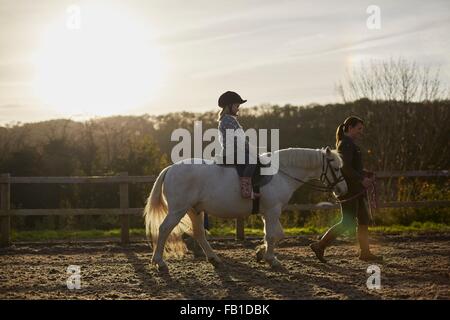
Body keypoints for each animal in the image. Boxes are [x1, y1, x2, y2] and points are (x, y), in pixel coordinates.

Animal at [144, 147, 348, 270]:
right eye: (337, 168)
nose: (342, 190)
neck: (281, 173)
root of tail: (170, 168)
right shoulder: (273, 210)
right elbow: (272, 235)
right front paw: (271, 259)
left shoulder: (268, 213)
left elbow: (276, 234)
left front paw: (260, 252)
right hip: (178, 210)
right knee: (164, 229)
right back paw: (159, 262)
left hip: (194, 210)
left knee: (199, 234)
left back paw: (214, 259)